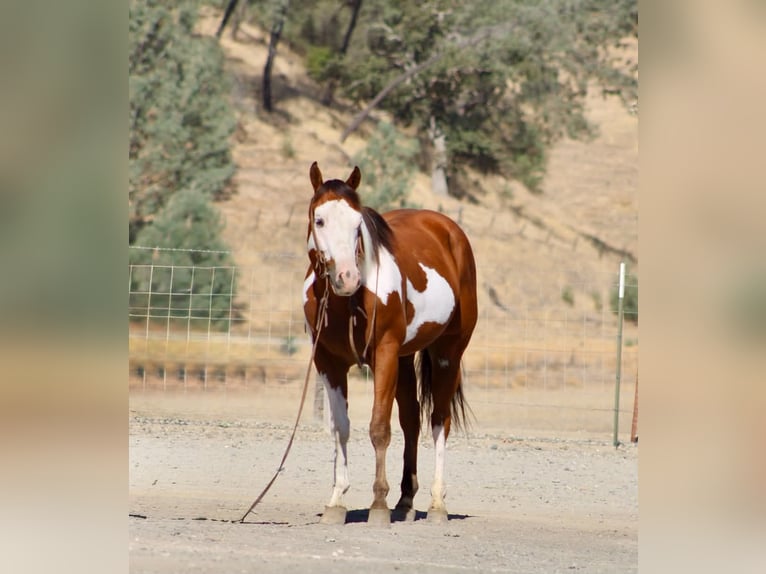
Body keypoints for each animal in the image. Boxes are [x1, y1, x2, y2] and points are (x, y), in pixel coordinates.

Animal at [302, 162, 478, 525]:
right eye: (319, 219)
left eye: (358, 224)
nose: (347, 278)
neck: (347, 304)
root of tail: (448, 229)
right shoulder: (329, 363)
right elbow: (340, 428)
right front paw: (336, 501)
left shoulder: (383, 355)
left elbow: (379, 427)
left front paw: (378, 505)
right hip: (405, 358)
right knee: (411, 420)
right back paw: (406, 501)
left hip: (447, 354)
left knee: (439, 420)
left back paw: (437, 505)